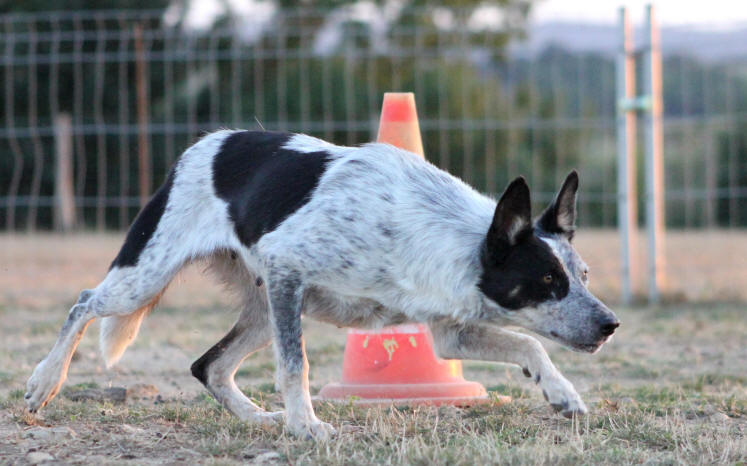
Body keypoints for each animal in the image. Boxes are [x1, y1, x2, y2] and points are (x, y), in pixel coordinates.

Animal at [24, 129, 620, 438]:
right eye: (547, 279)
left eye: (583, 275)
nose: (611, 325)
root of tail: (203, 144)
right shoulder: (289, 269)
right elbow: (297, 367)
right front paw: (306, 425)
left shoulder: (450, 333)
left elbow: (528, 345)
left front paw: (562, 394)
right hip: (148, 278)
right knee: (83, 304)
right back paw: (44, 381)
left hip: (265, 309)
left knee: (207, 366)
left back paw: (259, 418)